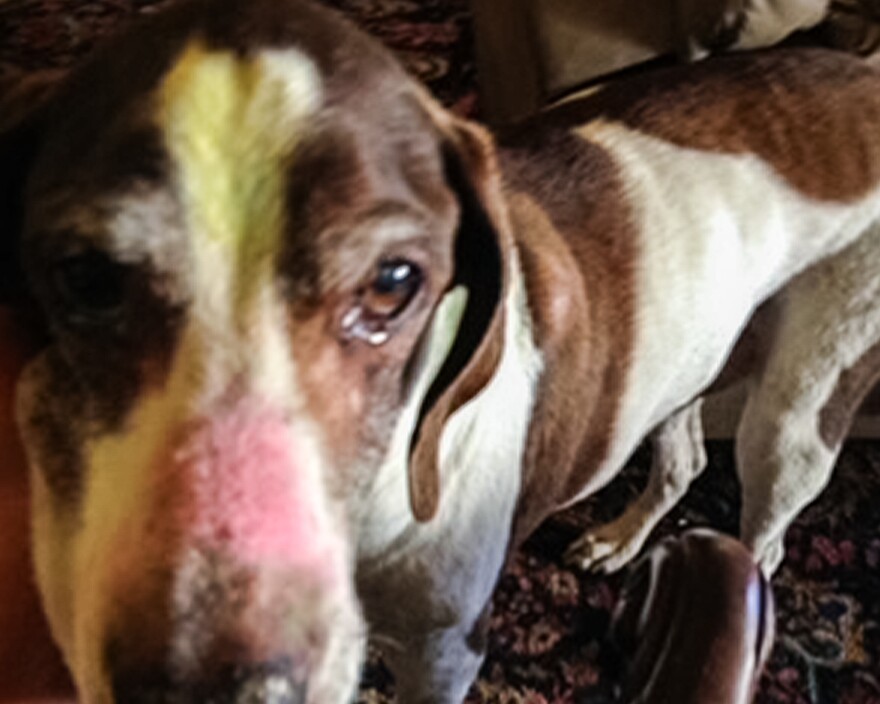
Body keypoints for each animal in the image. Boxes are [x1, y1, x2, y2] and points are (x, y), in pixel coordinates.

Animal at [1, 1, 880, 704]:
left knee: (762, 538)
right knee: (685, 457)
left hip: (793, 420)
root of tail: (858, 70)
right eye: (85, 277)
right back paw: (622, 537)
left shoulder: (444, 654)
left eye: (393, 283)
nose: (213, 682)